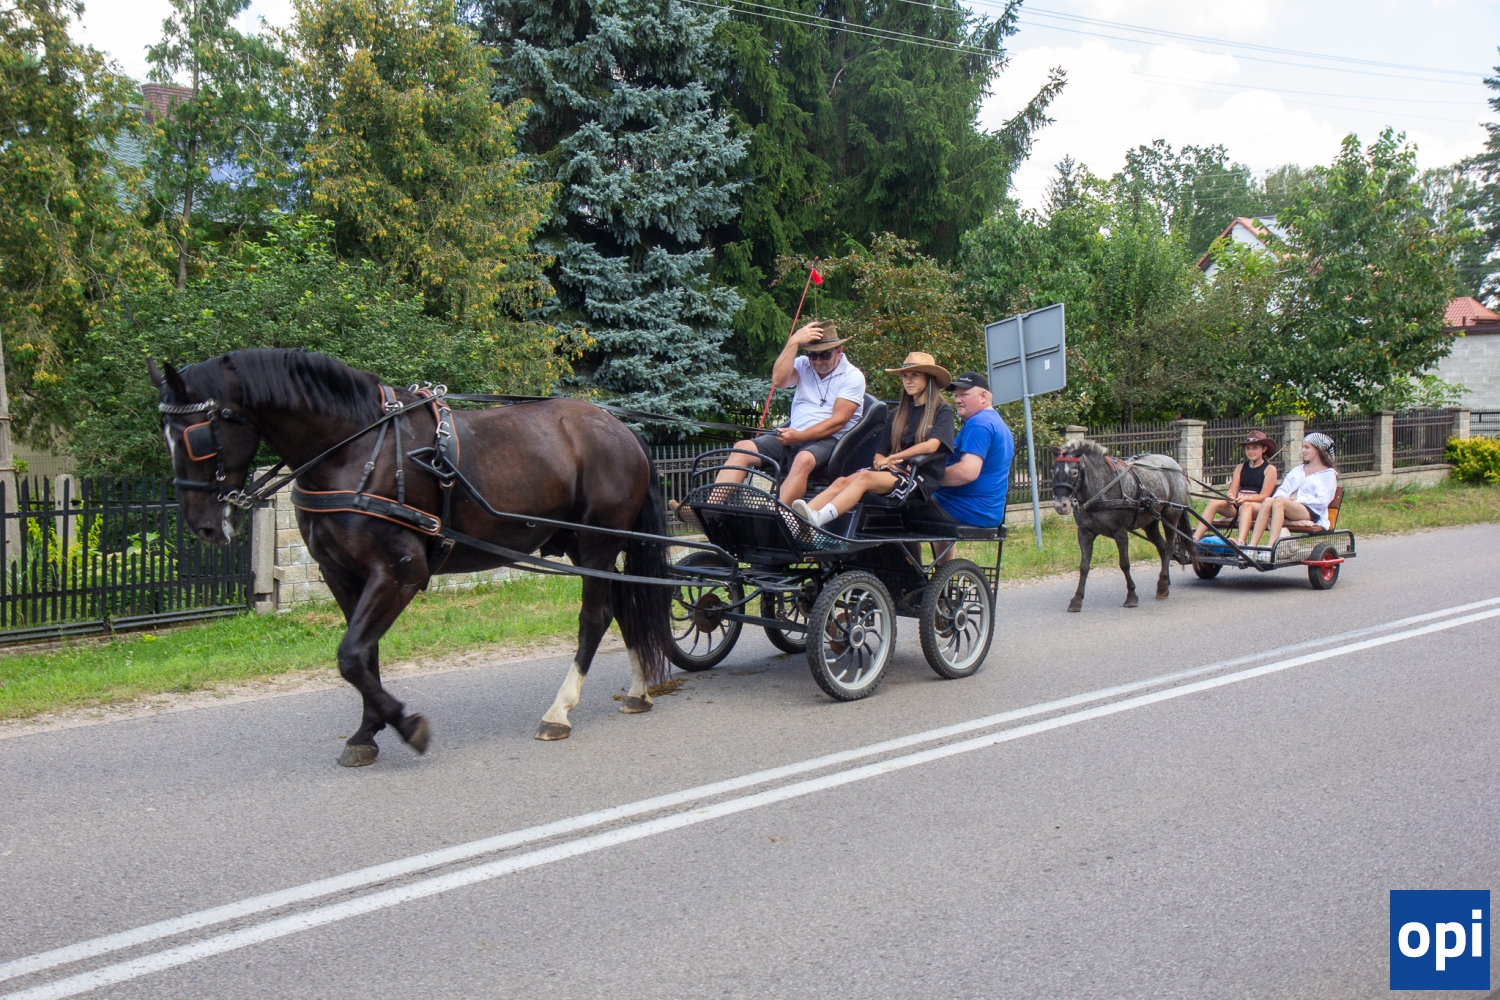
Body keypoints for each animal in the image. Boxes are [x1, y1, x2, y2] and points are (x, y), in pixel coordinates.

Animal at [150, 348, 674, 766]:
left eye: (198, 436)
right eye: (166, 435)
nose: (204, 526)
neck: (355, 448)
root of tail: (622, 429)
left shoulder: (400, 574)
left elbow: (350, 656)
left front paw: (406, 725)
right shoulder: (341, 574)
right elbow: (365, 655)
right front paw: (366, 733)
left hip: (598, 544)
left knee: (595, 617)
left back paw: (559, 711)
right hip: (590, 546)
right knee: (625, 605)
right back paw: (637, 691)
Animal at [1050, 439, 1190, 613]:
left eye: (1074, 472)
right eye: (1052, 471)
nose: (1060, 506)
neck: (1100, 491)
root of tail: (1175, 465)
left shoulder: (1120, 533)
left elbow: (1124, 564)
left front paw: (1131, 596)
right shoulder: (1084, 533)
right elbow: (1084, 566)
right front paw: (1076, 599)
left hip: (1171, 516)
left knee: (1170, 546)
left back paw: (1163, 584)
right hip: (1150, 522)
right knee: (1163, 549)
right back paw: (1164, 583)